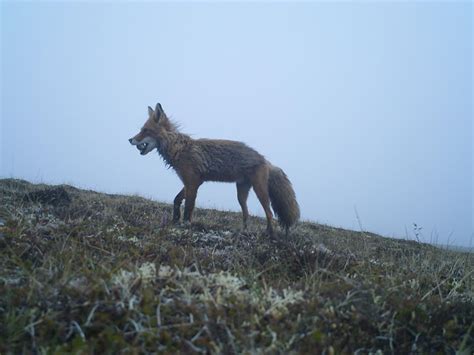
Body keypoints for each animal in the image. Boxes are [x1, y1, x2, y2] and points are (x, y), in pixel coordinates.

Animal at [129, 103, 300, 236]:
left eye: (145, 130)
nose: (130, 139)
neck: (179, 148)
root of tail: (265, 159)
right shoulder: (189, 182)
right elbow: (177, 200)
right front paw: (175, 219)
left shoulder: (193, 182)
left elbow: (189, 207)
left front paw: (185, 225)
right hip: (241, 194)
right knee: (246, 214)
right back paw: (244, 231)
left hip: (260, 191)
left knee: (269, 213)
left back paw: (269, 234)